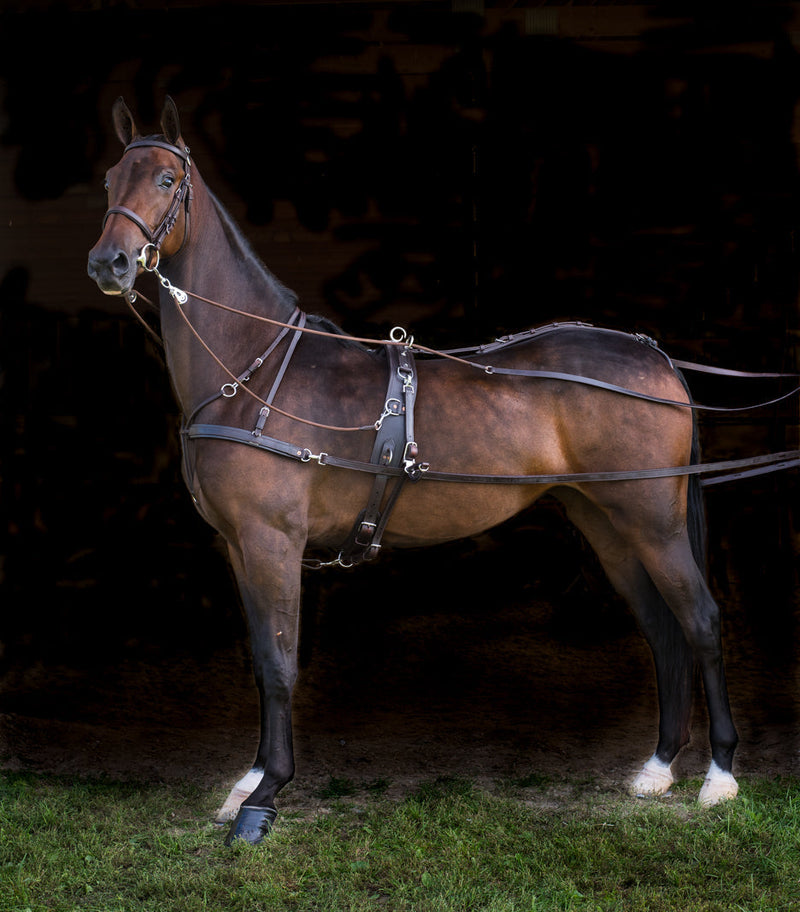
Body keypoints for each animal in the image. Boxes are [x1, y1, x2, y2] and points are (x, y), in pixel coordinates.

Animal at [86, 96, 736, 844]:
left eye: (167, 180)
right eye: (109, 180)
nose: (108, 261)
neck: (252, 371)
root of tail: (656, 357)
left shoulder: (272, 540)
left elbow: (280, 664)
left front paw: (265, 795)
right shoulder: (238, 546)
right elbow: (259, 658)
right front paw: (249, 781)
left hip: (654, 521)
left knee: (700, 621)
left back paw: (719, 776)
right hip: (607, 521)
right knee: (663, 629)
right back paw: (658, 768)